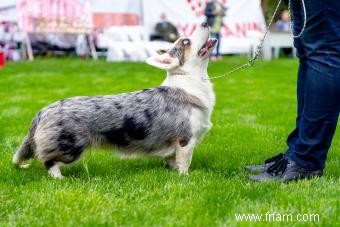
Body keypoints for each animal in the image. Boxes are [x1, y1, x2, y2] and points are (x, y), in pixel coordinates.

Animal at [11, 22, 216, 178]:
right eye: (186, 41)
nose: (205, 22)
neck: (190, 82)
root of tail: (44, 111)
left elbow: (172, 161)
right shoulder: (185, 141)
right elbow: (184, 163)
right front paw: (184, 178)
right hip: (70, 147)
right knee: (49, 162)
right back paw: (60, 179)